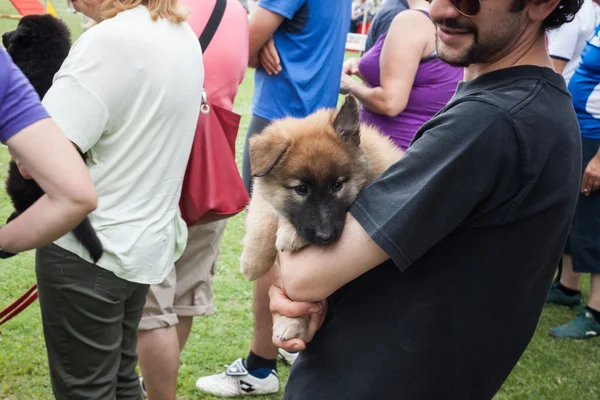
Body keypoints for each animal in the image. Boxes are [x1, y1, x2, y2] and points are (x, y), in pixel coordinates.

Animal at [240, 94, 404, 340]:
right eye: (301, 189)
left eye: (337, 186)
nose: (325, 236)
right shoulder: (264, 192)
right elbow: (265, 211)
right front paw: (253, 262)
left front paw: (288, 235)